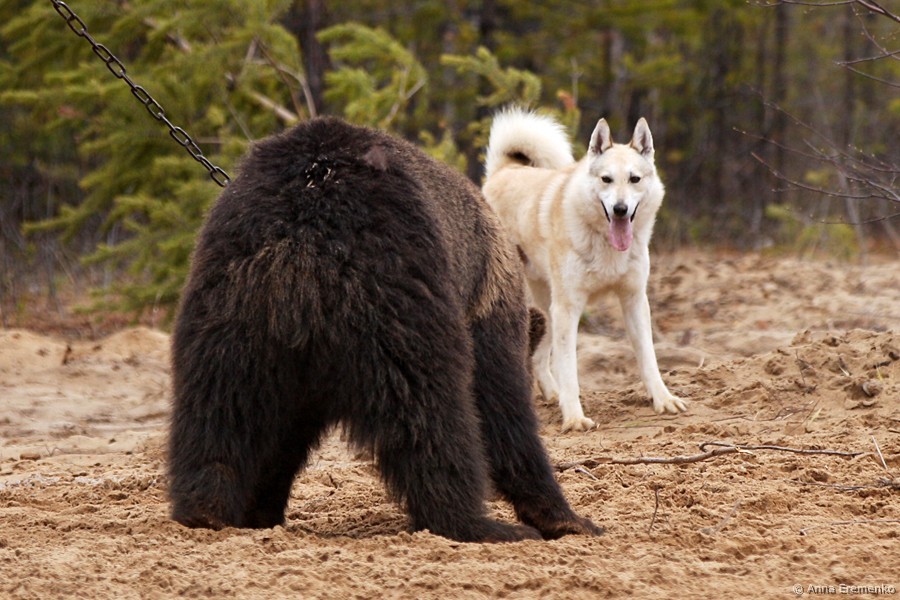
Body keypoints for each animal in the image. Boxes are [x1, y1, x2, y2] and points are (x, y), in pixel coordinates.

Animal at [167, 117, 602, 543]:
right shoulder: (486, 309)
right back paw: (474, 522)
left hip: (229, 307)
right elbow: (502, 407)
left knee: (217, 408)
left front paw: (260, 506)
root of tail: (302, 239)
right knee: (431, 411)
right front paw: (568, 518)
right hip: (397, 301)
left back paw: (204, 509)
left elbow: (281, 437)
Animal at [483, 108, 687, 432]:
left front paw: (663, 399)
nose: (620, 209)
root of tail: (503, 171)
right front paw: (575, 418)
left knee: (539, 359)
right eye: (606, 179)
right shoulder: (569, 309)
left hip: (547, 308)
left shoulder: (634, 300)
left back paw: (551, 395)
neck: (604, 244)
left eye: (634, 179)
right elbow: (569, 370)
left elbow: (648, 359)